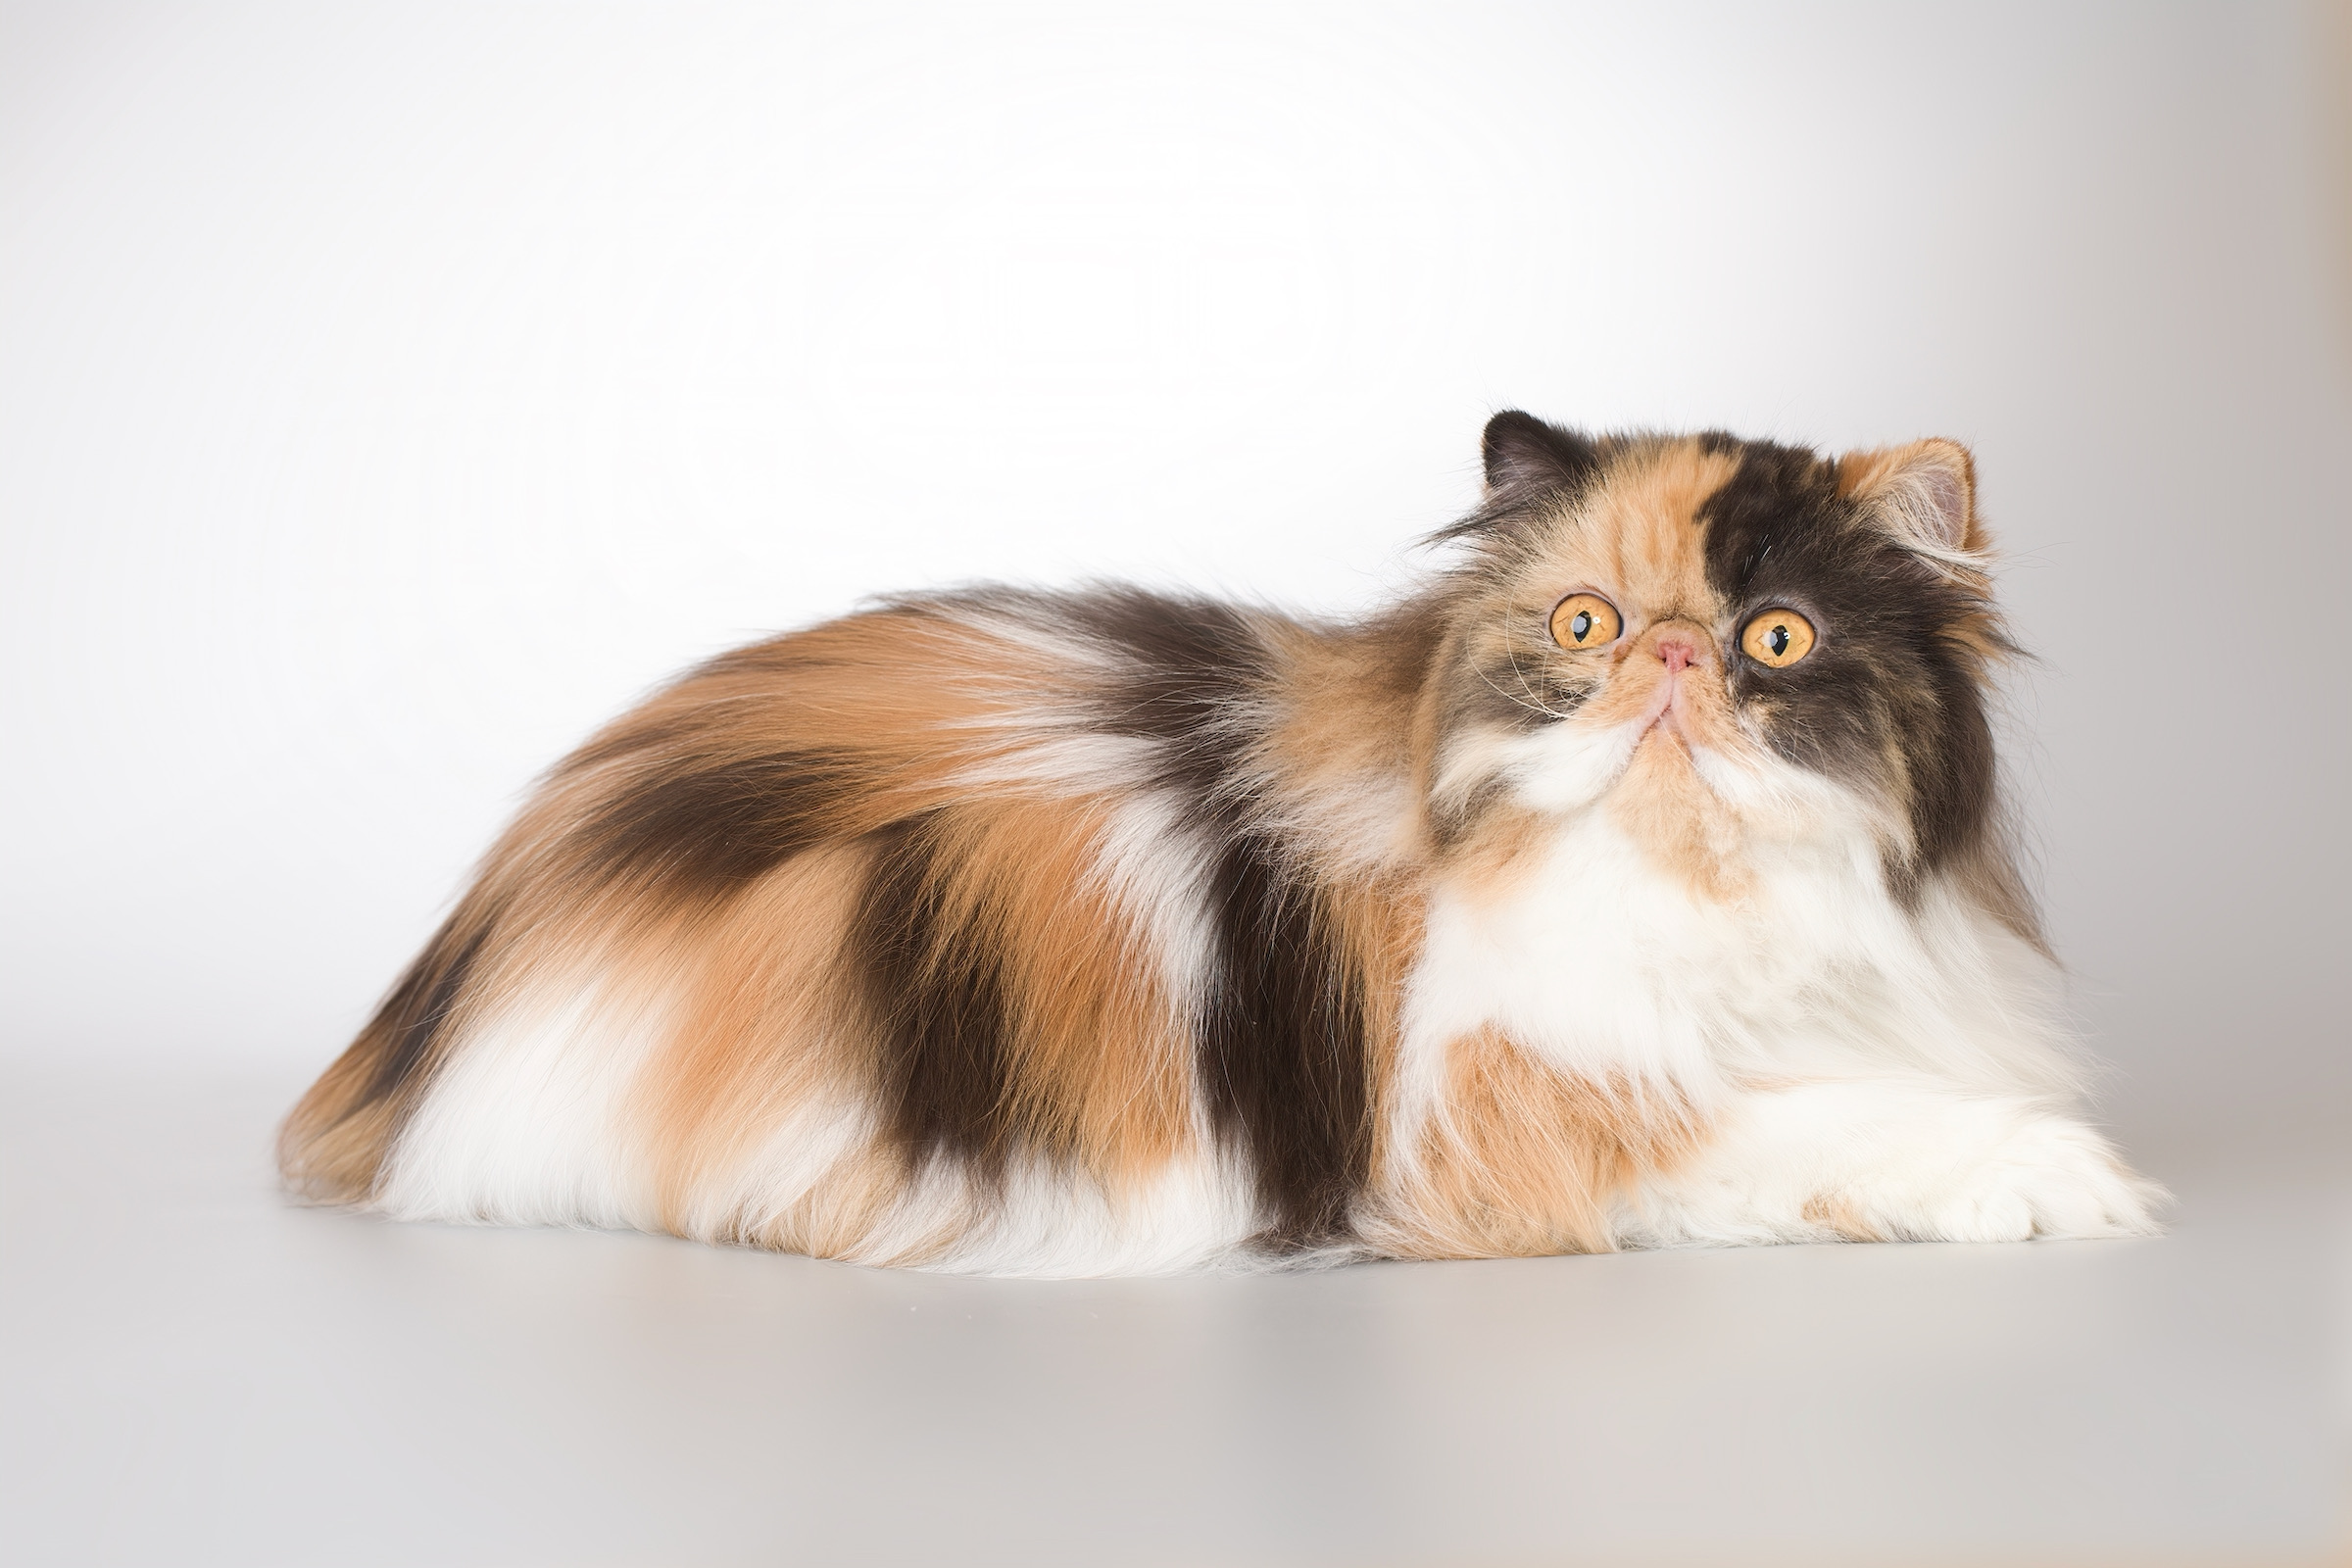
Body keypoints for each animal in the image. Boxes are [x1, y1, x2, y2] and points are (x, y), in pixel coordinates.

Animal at [279, 414, 2164, 1278]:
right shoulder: (1515, 1113)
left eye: (1775, 638)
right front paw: (2071, 1179)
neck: (1701, 896)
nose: (1674, 666)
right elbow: (1849, 1128)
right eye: (1586, 624)